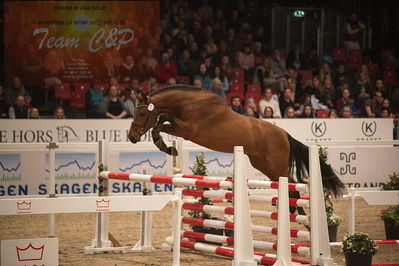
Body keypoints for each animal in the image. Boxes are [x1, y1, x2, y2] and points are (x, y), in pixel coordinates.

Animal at [128, 84, 344, 200]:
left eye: (142, 113)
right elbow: (162, 121)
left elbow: (162, 120)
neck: (192, 104)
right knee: (289, 184)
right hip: (263, 165)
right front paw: (167, 147)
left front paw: (166, 147)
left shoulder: (187, 130)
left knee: (292, 184)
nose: (131, 137)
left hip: (276, 166)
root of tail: (284, 134)